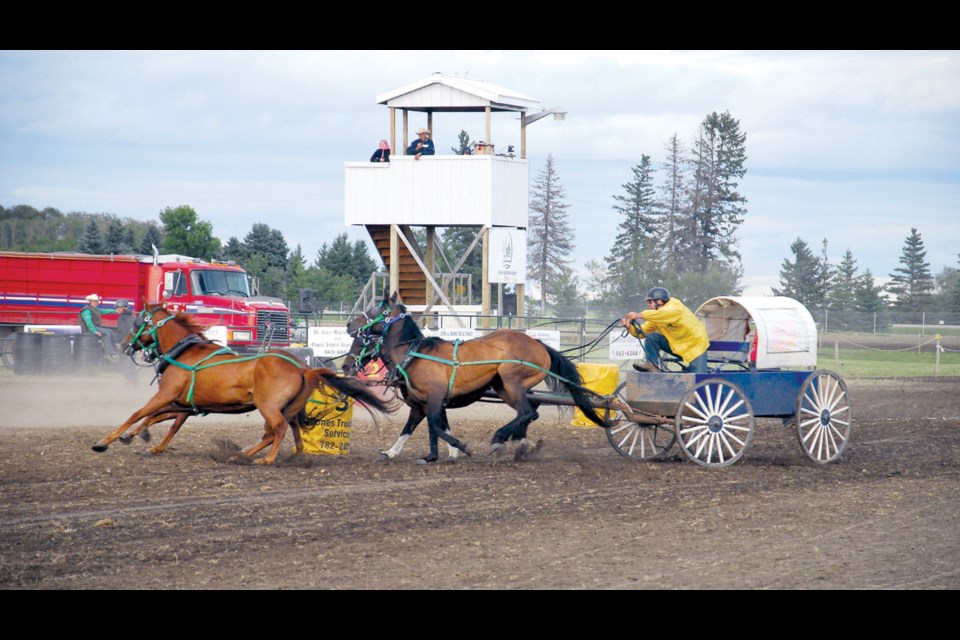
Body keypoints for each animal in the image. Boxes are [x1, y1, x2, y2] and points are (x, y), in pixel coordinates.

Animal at [93, 302, 398, 462]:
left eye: (138, 323)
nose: (123, 345)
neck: (185, 352)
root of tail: (302, 368)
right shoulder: (183, 404)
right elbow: (162, 421)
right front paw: (145, 441)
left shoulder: (166, 395)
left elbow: (139, 413)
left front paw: (105, 441)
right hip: (286, 407)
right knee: (287, 429)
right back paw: (269, 453)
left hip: (268, 406)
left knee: (278, 429)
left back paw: (265, 458)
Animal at [348, 292, 612, 462]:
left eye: (377, 310)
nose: (350, 324)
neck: (414, 353)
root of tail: (539, 343)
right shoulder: (422, 404)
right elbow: (416, 428)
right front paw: (411, 454)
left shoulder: (434, 398)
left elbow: (436, 426)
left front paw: (460, 448)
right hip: (505, 388)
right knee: (530, 411)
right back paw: (519, 445)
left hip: (512, 381)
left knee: (526, 412)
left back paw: (500, 440)